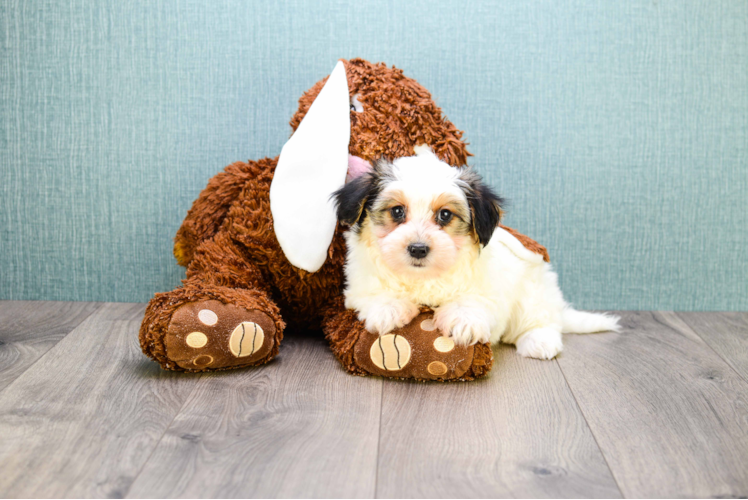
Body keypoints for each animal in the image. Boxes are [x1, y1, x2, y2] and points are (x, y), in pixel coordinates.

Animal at [334, 145, 620, 360]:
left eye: (445, 215)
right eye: (396, 211)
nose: (418, 249)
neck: (424, 278)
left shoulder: (489, 285)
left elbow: (473, 299)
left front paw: (463, 321)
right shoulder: (359, 283)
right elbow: (374, 292)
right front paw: (388, 309)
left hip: (533, 291)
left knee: (541, 319)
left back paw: (539, 341)